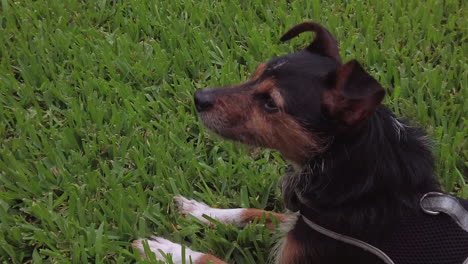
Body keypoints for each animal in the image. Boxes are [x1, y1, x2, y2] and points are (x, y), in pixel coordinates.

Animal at [133, 22, 468, 264]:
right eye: (254, 75)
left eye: (270, 103)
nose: (198, 98)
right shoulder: (300, 220)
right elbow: (253, 212)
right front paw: (199, 210)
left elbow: (209, 259)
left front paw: (164, 250)